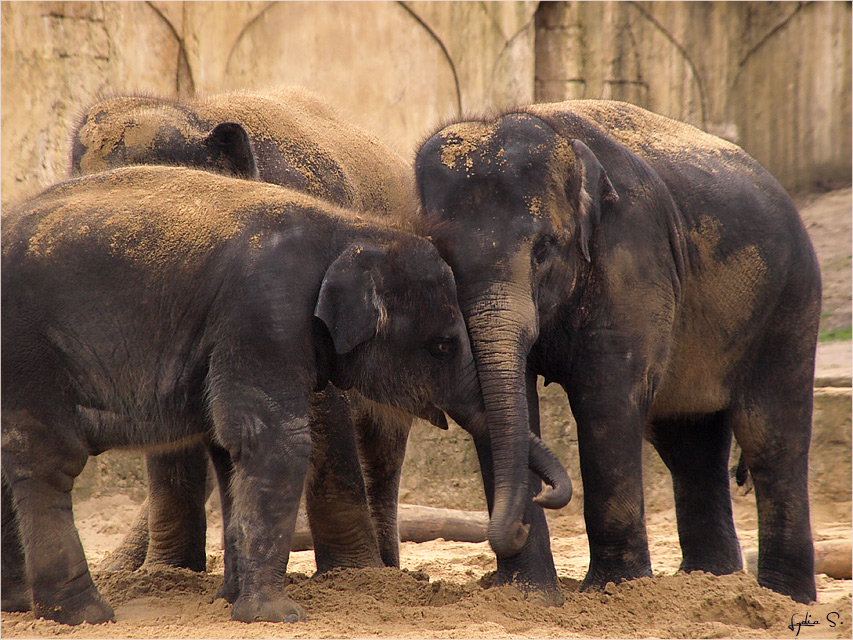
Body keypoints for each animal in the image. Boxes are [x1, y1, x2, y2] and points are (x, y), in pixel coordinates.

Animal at [1, 166, 572, 624]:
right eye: (443, 345)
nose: (536, 507)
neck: (348, 228)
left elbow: (229, 450)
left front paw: (227, 602)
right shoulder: (265, 316)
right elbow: (275, 440)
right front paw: (276, 615)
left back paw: (19, 606)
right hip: (28, 351)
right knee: (47, 458)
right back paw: (82, 614)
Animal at [416, 100, 824, 604]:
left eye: (543, 249)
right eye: (440, 254)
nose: (540, 500)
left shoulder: (632, 256)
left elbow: (606, 401)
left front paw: (612, 591)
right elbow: (508, 405)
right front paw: (528, 597)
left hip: (790, 304)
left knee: (772, 440)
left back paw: (784, 598)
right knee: (688, 444)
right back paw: (710, 582)